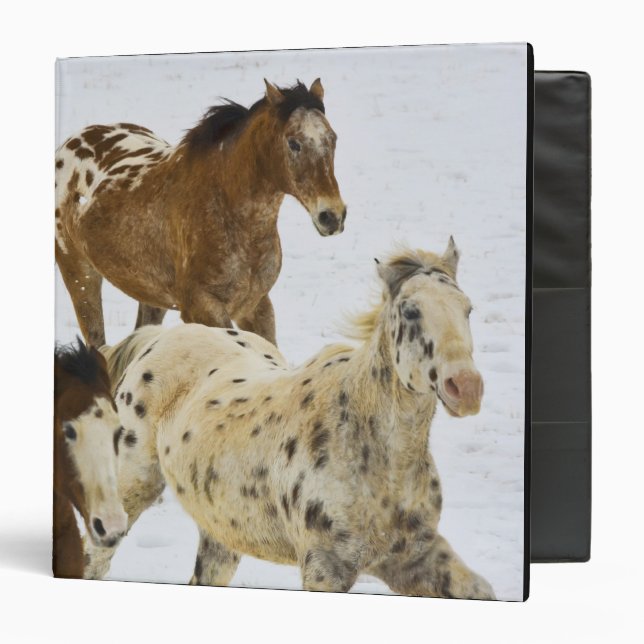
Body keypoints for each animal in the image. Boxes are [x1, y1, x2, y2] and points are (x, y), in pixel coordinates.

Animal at [55, 79, 346, 348]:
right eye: (294, 143)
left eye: (332, 139)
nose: (332, 216)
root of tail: (69, 145)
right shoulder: (203, 308)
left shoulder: (256, 306)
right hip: (80, 276)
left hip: (152, 296)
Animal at [85, 238, 494, 599]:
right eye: (410, 311)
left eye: (468, 309)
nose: (466, 387)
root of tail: (158, 338)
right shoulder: (325, 569)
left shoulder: (413, 557)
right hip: (129, 492)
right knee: (95, 562)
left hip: (221, 531)